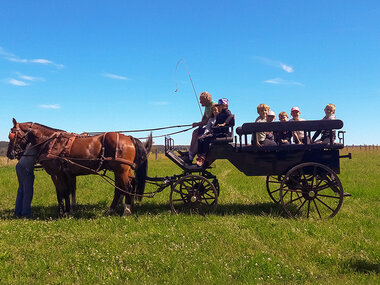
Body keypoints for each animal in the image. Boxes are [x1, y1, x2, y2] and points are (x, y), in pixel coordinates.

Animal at [5, 118, 151, 216]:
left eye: (12, 135)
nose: (9, 154)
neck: (51, 142)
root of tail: (129, 137)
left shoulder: (55, 174)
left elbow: (60, 192)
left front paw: (61, 213)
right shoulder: (65, 173)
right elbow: (67, 191)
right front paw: (68, 211)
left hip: (121, 170)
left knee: (127, 187)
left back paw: (126, 211)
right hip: (122, 170)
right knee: (121, 188)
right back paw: (113, 209)